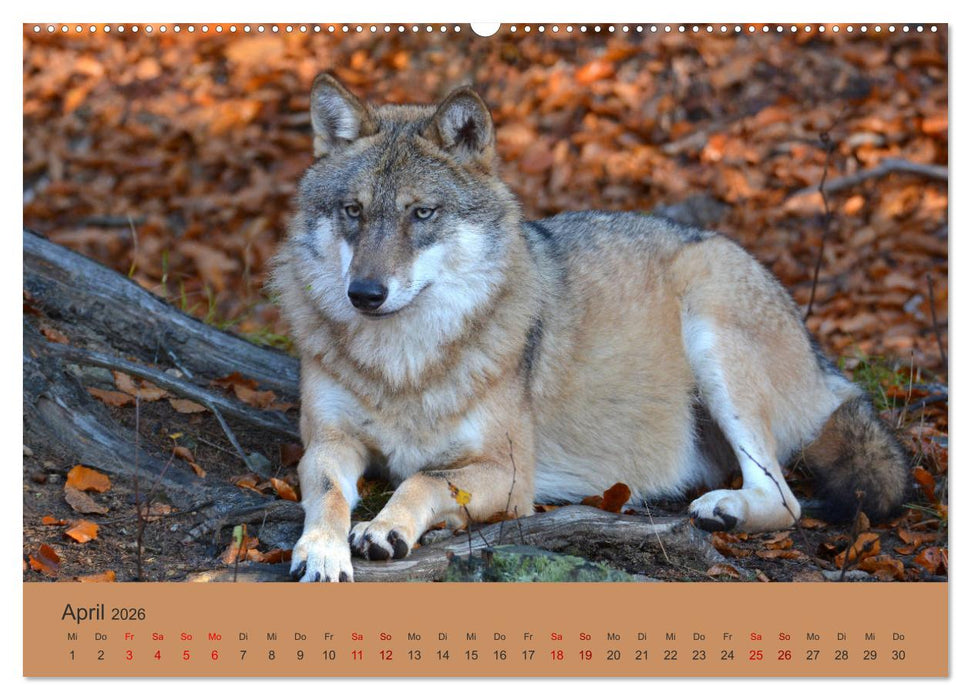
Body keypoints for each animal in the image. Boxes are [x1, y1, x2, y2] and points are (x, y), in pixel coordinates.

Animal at [271, 73, 911, 582]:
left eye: (421, 213)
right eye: (353, 212)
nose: (364, 294)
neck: (404, 363)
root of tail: (819, 356)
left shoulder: (511, 475)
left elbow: (421, 480)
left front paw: (384, 530)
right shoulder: (328, 444)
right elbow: (328, 496)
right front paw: (322, 550)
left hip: (711, 327)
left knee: (786, 499)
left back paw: (723, 509)